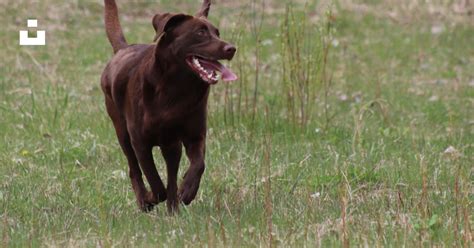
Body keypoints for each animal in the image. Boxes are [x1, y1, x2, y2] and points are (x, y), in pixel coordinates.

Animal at [102, 0, 239, 213]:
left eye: (217, 32)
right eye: (200, 32)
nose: (231, 48)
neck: (177, 89)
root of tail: (123, 49)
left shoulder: (191, 137)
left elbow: (198, 165)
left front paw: (186, 192)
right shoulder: (140, 142)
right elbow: (155, 182)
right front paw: (151, 198)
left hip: (169, 146)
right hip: (122, 131)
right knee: (134, 169)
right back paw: (144, 200)